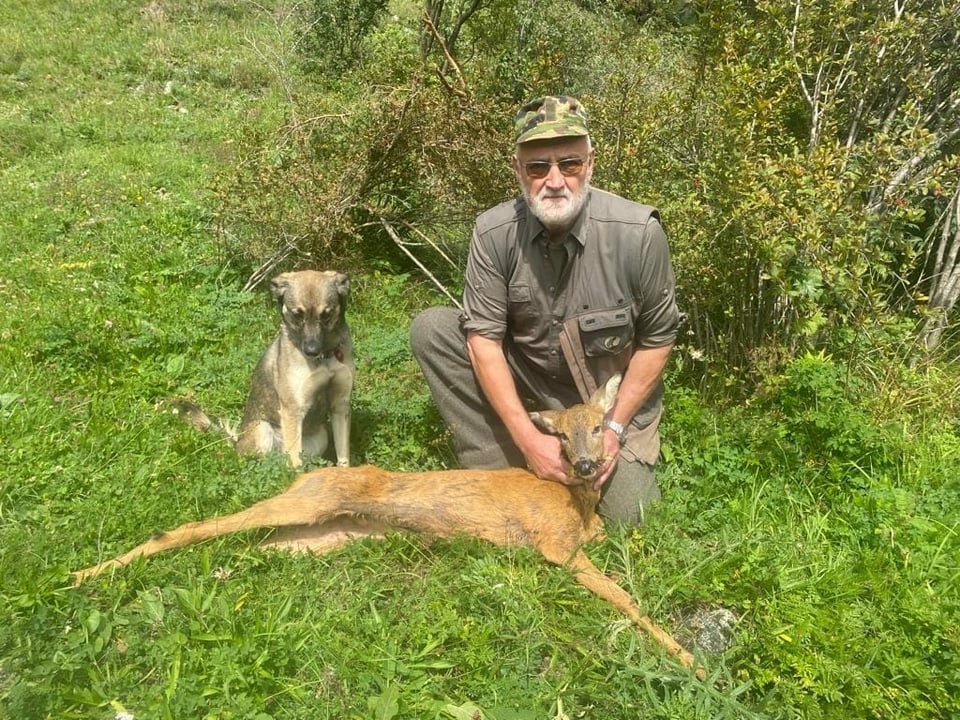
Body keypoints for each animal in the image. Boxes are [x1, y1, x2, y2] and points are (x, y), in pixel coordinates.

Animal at [73, 374, 704, 676]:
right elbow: (627, 599)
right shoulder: (556, 547)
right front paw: (693, 662)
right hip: (306, 504)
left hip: (323, 537)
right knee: (188, 528)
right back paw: (81, 576)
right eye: (562, 434)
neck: (574, 502)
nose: (587, 464)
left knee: (253, 548)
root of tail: (310, 479)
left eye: (598, 426)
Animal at [174, 270, 354, 466]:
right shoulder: (293, 409)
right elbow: (296, 461)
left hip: (321, 437)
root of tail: (237, 442)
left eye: (326, 314)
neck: (325, 357)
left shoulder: (340, 405)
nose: (311, 351)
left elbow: (343, 456)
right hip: (263, 429)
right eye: (297, 314)